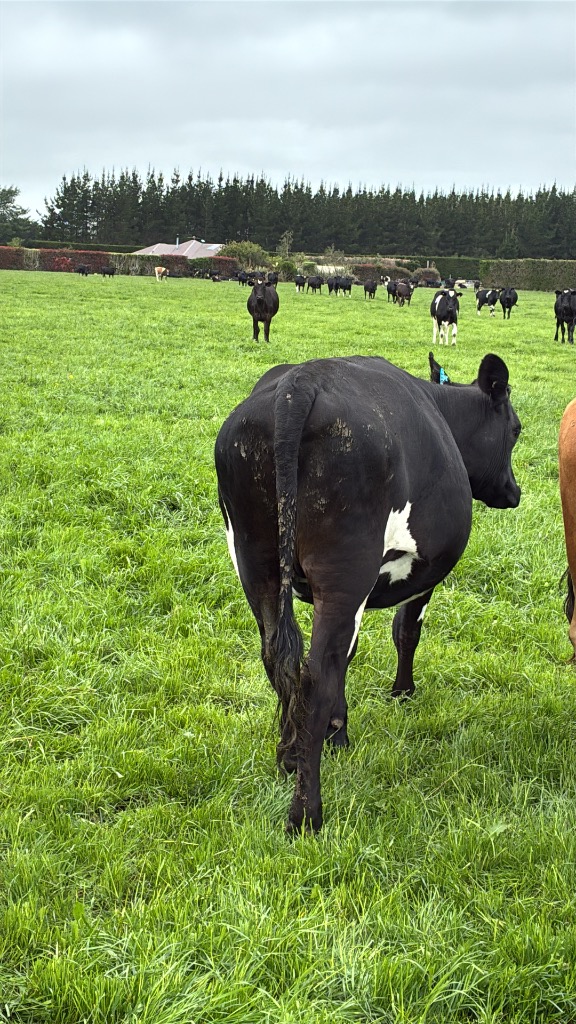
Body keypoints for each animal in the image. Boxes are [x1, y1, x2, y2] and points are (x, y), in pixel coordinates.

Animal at [215, 351, 521, 832]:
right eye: (516, 430)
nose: (515, 491)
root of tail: (299, 383)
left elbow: (349, 653)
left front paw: (336, 732)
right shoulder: (422, 573)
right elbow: (404, 632)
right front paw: (401, 693)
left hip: (255, 560)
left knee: (280, 658)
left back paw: (289, 758)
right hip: (346, 571)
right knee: (316, 675)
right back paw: (306, 815)